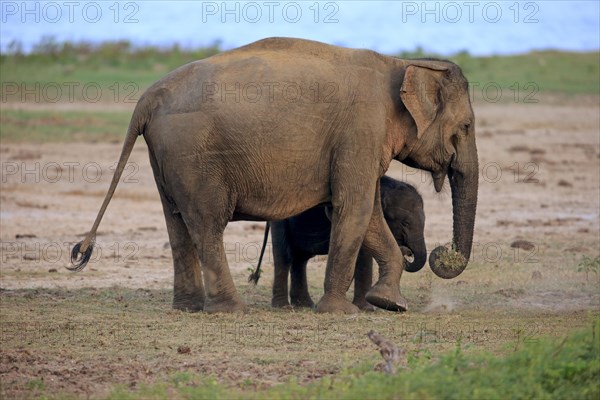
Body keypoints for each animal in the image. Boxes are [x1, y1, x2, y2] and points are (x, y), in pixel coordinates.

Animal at [264, 177, 424, 310]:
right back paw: (283, 307)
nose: (407, 251)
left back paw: (304, 305)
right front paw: (366, 309)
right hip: (281, 221)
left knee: (300, 259)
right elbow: (363, 256)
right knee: (284, 257)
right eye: (405, 223)